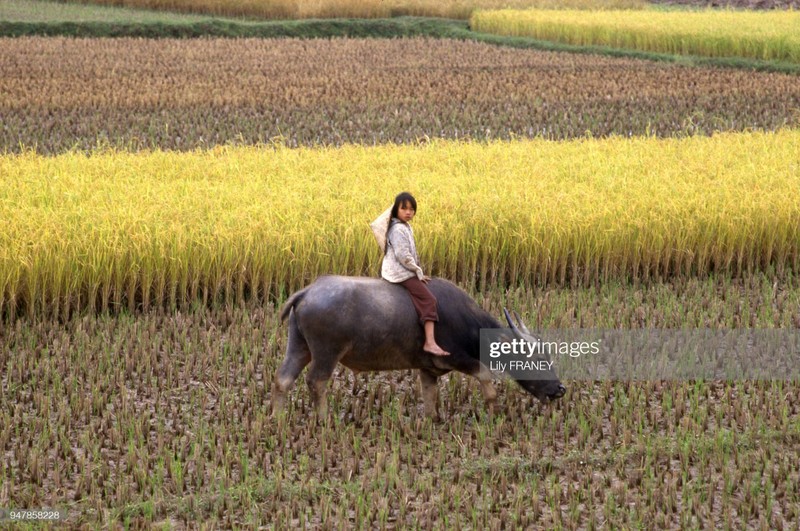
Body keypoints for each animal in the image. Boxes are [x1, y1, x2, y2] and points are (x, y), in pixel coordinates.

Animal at [272, 276, 564, 418]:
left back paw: (278, 419)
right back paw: (324, 419)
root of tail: (307, 291)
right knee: (317, 381)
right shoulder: (459, 359)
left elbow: (429, 397)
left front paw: (432, 420)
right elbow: (486, 379)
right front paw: (495, 412)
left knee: (283, 379)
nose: (559, 390)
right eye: (536, 361)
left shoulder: (428, 370)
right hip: (326, 352)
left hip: (298, 345)